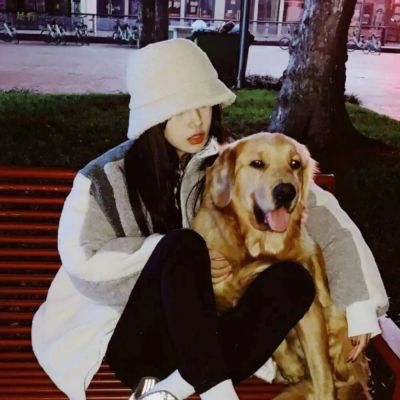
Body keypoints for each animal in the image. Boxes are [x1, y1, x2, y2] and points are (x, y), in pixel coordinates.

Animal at [192, 132, 370, 400]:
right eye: (257, 164)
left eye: (294, 164)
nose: (287, 191)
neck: (260, 247)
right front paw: (291, 365)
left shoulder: (310, 305)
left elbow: (321, 371)